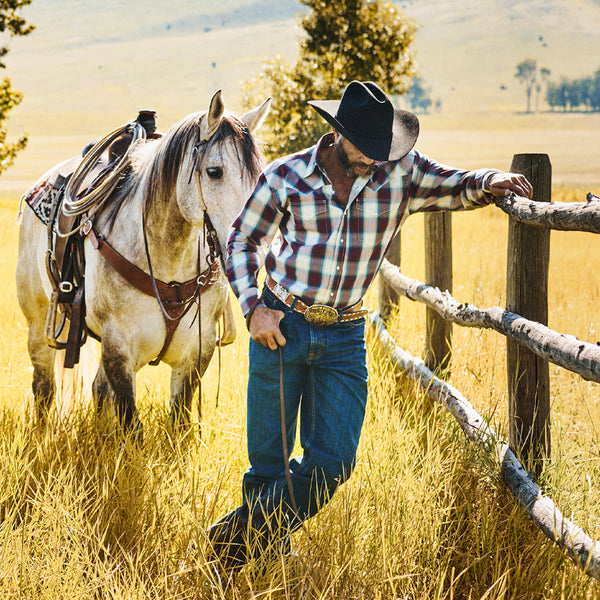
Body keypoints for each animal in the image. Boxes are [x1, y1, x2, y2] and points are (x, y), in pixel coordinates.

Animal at [16, 90, 270, 432]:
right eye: (214, 171)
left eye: (259, 175)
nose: (256, 239)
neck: (167, 259)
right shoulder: (118, 349)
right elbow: (128, 420)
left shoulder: (196, 352)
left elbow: (178, 417)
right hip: (38, 323)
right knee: (44, 388)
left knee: (97, 390)